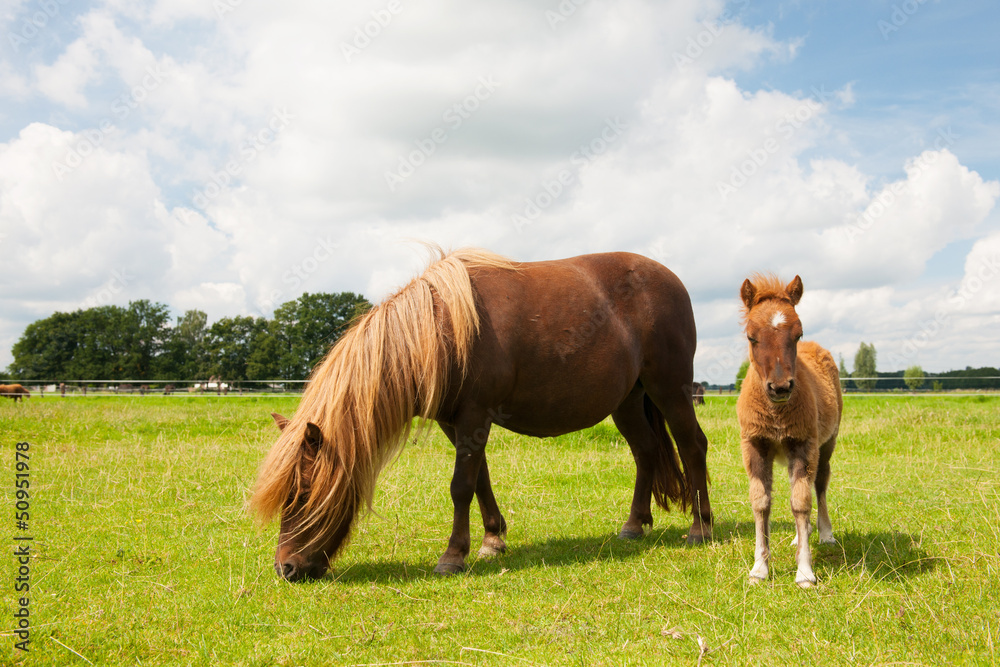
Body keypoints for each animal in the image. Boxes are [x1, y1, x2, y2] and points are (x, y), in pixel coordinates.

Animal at [251, 248, 714, 581]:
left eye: (303, 493)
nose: (285, 568)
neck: (440, 330)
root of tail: (672, 280)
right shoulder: (455, 422)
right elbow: (479, 481)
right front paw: (493, 540)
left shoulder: (475, 416)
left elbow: (460, 486)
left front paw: (453, 556)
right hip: (628, 402)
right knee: (646, 452)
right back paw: (635, 525)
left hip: (670, 389)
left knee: (692, 446)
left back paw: (700, 529)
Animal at [736, 274, 842, 588]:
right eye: (751, 336)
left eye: (798, 333)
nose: (781, 387)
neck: (776, 413)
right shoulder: (755, 445)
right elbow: (761, 502)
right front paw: (759, 568)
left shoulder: (803, 444)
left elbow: (801, 502)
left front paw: (805, 572)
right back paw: (799, 535)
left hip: (826, 444)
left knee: (819, 484)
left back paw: (824, 533)